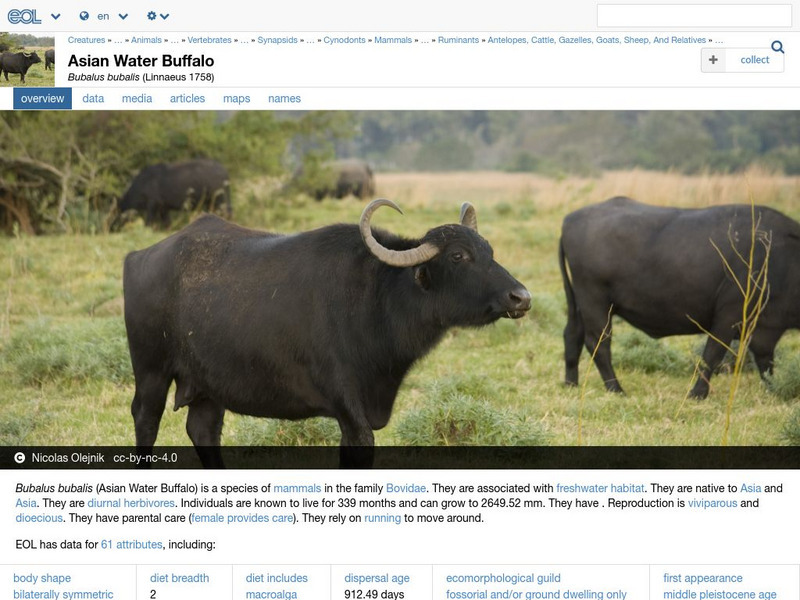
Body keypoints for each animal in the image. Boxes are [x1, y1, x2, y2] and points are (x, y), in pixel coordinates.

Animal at [123, 199, 531, 467]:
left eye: (490, 250)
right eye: (458, 256)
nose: (521, 297)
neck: (376, 299)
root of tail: (139, 258)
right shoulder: (346, 405)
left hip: (208, 386)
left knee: (203, 430)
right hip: (151, 371)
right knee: (146, 420)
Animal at [560, 196, 800, 398]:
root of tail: (571, 219)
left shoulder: (764, 328)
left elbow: (765, 360)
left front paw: (774, 388)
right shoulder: (729, 314)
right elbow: (713, 353)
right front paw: (698, 393)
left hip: (580, 303)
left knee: (572, 334)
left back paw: (571, 383)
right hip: (595, 302)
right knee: (598, 343)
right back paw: (616, 388)